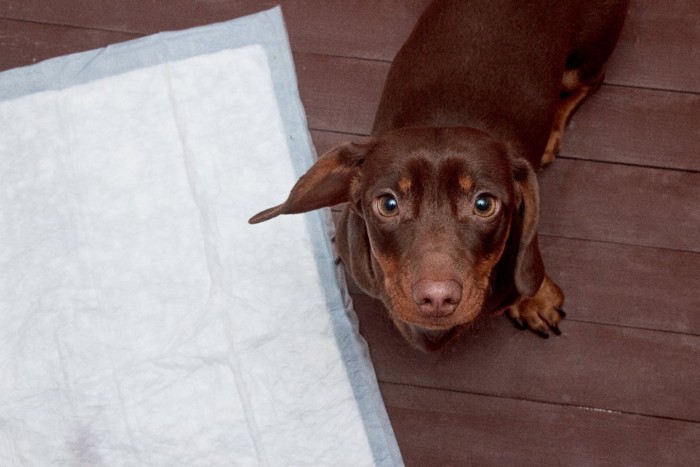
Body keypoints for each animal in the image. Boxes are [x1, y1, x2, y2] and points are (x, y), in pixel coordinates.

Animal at [250, 0, 628, 352]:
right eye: (388, 204)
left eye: (484, 204)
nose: (436, 300)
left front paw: (534, 298)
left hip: (585, 57)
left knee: (591, 83)